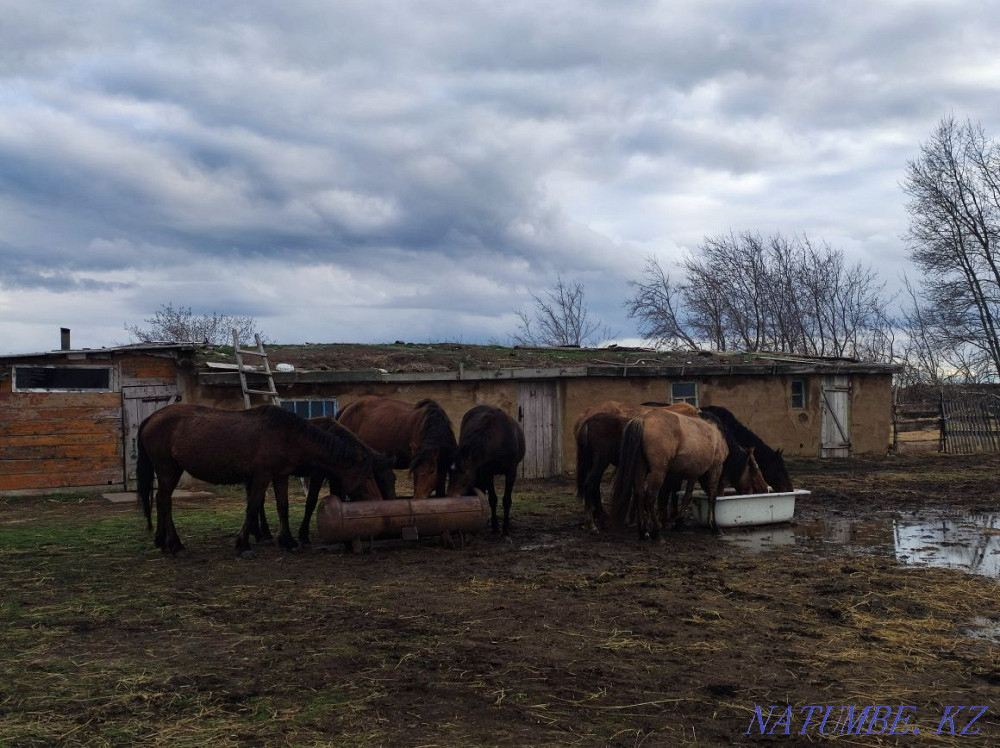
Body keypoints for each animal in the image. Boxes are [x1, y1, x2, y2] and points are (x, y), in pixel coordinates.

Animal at [136, 404, 385, 557]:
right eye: (367, 475)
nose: (378, 499)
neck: (287, 435)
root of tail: (152, 418)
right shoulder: (263, 476)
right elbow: (253, 506)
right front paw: (243, 544)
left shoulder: (280, 476)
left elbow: (283, 507)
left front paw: (289, 542)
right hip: (168, 470)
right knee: (164, 501)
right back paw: (176, 545)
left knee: (161, 501)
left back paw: (165, 543)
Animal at [447, 405, 526, 536]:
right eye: (449, 472)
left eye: (464, 471)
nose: (451, 496)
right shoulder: (487, 472)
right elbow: (492, 499)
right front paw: (495, 526)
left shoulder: (511, 471)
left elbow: (506, 500)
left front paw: (505, 528)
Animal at [574, 400, 701, 532]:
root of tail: (586, 421)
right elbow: (664, 493)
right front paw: (659, 520)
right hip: (600, 462)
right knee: (590, 485)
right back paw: (592, 524)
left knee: (593, 486)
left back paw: (600, 519)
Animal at [609, 408, 768, 536]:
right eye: (754, 468)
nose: (764, 488)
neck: (718, 434)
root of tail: (643, 419)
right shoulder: (715, 468)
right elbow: (712, 496)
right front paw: (714, 527)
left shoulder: (694, 473)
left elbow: (687, 496)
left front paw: (679, 523)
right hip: (659, 471)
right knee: (650, 496)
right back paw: (656, 534)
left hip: (641, 468)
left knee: (639, 494)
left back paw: (643, 531)